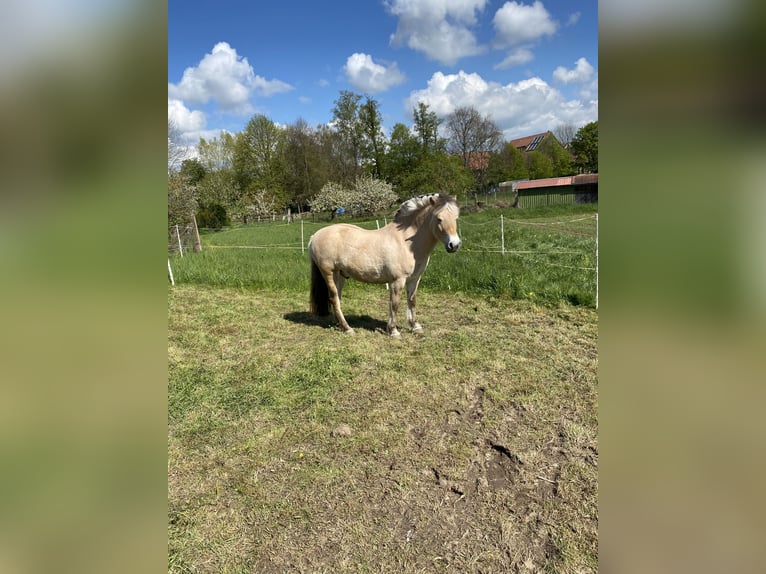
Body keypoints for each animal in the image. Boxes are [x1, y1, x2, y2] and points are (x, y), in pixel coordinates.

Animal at [308, 193, 461, 337]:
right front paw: (393, 331)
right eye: (439, 219)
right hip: (328, 273)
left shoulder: (414, 279)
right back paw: (348, 329)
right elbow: (394, 304)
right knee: (334, 298)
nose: (454, 245)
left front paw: (415, 327)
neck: (406, 242)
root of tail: (314, 236)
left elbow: (412, 300)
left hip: (339, 275)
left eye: (456, 218)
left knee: (337, 299)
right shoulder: (397, 280)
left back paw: (340, 325)